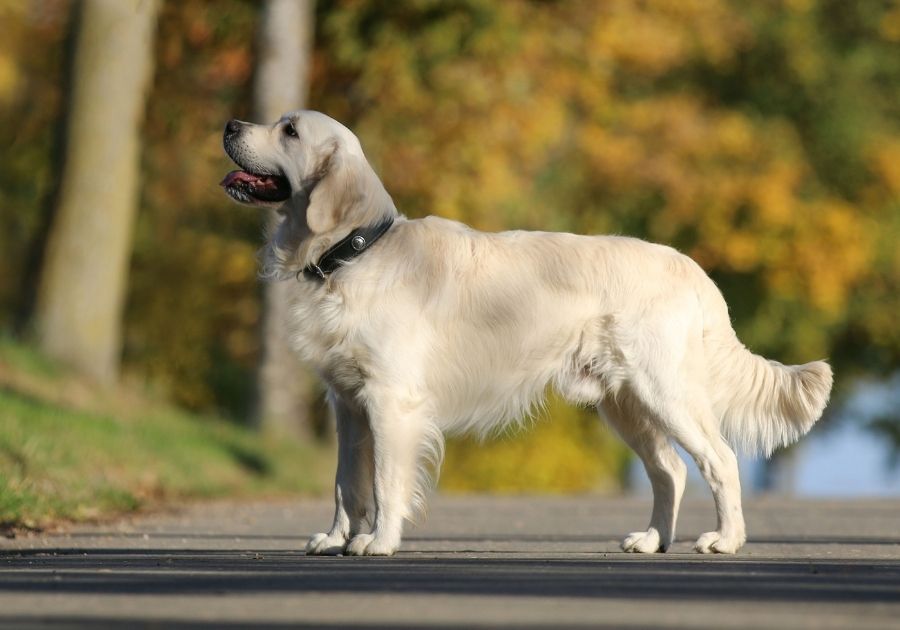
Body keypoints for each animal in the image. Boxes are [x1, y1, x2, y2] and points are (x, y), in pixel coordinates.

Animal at [221, 111, 832, 556]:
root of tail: (693, 270)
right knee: (671, 470)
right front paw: (335, 537)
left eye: (290, 129)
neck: (356, 252)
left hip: (667, 392)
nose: (228, 125)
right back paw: (653, 540)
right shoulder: (347, 403)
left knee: (719, 461)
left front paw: (379, 541)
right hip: (626, 404)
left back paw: (725, 540)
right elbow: (345, 481)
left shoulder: (392, 400)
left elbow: (386, 481)